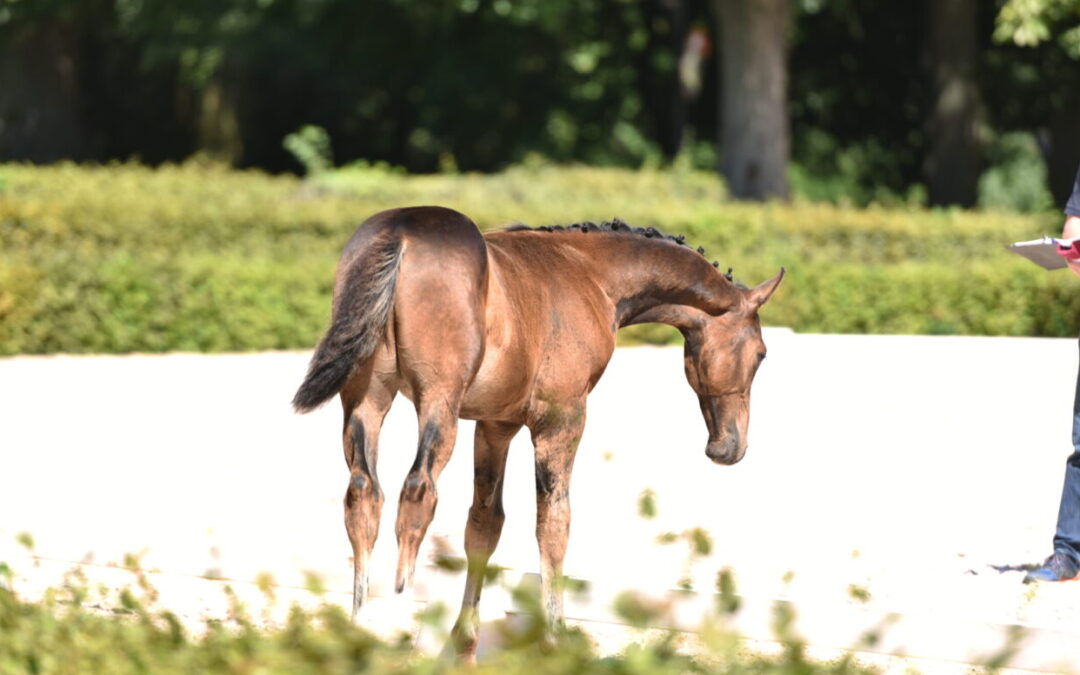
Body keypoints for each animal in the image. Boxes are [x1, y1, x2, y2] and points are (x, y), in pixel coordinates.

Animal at [293, 205, 786, 656]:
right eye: (762, 353)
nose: (730, 447)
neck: (590, 274)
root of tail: (401, 231)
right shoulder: (561, 418)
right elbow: (553, 523)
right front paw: (556, 639)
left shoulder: (496, 425)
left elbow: (484, 525)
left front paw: (464, 644)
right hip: (437, 401)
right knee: (417, 493)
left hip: (367, 400)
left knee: (364, 496)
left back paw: (357, 633)